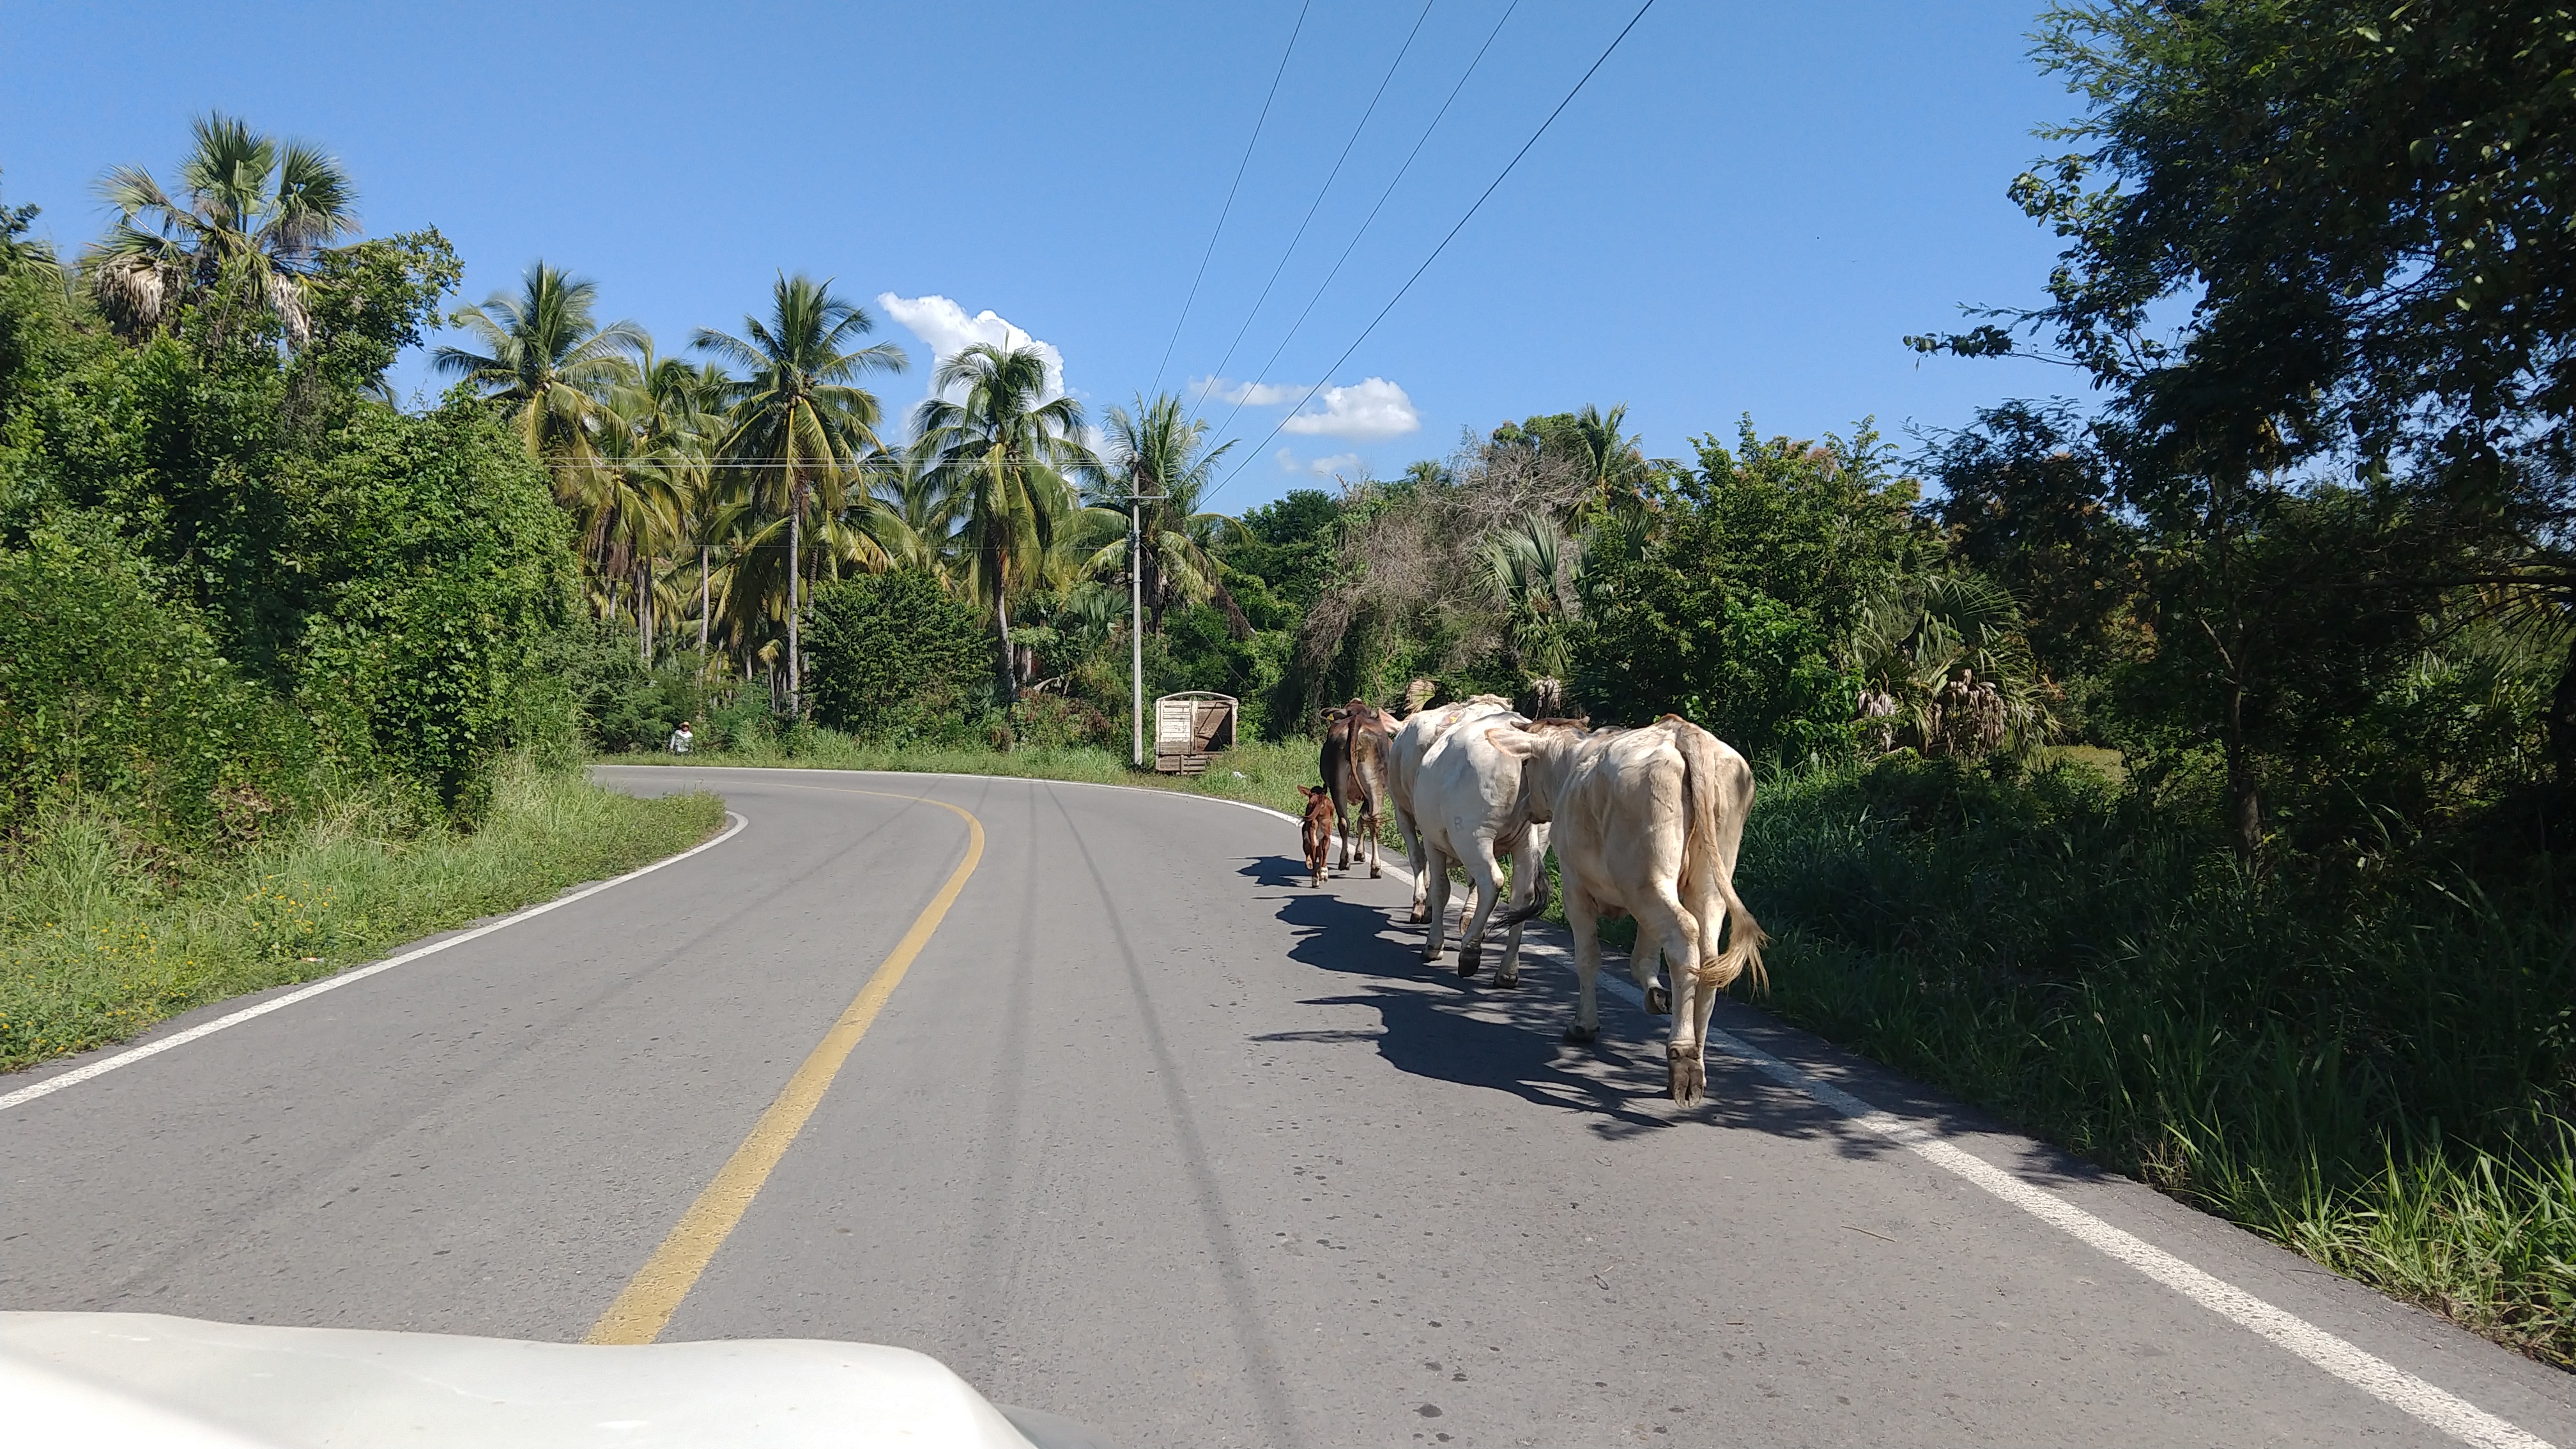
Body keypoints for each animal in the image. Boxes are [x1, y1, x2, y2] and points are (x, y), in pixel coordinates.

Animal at [1298, 783, 1339, 887]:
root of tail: (1320, 800)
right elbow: (1321, 854)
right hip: (1326, 831)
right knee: (1323, 851)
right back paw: (1323, 874)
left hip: (1312, 829)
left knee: (1314, 851)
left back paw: (1315, 878)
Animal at [1319, 696, 1401, 877]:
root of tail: (1357, 720)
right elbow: (1362, 821)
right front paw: (1360, 853)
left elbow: (1360, 820)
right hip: (1376, 787)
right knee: (1373, 822)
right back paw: (1374, 867)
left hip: (1339, 786)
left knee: (1344, 822)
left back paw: (1346, 861)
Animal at [1401, 691, 1535, 979]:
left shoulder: (1433, 842)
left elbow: (1441, 889)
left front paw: (1433, 945)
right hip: (1530, 839)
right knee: (1523, 896)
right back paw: (1508, 969)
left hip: (1474, 836)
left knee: (1493, 882)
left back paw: (1471, 951)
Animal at [1494, 716, 1772, 1098]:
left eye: (1525, 766)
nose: (1522, 808)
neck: (1570, 763)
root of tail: (1683, 731)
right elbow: (1643, 958)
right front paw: (1656, 995)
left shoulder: (1576, 887)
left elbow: (1588, 958)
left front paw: (1584, 1025)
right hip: (1698, 885)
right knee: (1707, 956)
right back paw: (1698, 1054)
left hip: (1648, 880)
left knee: (1684, 938)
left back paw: (1683, 1057)